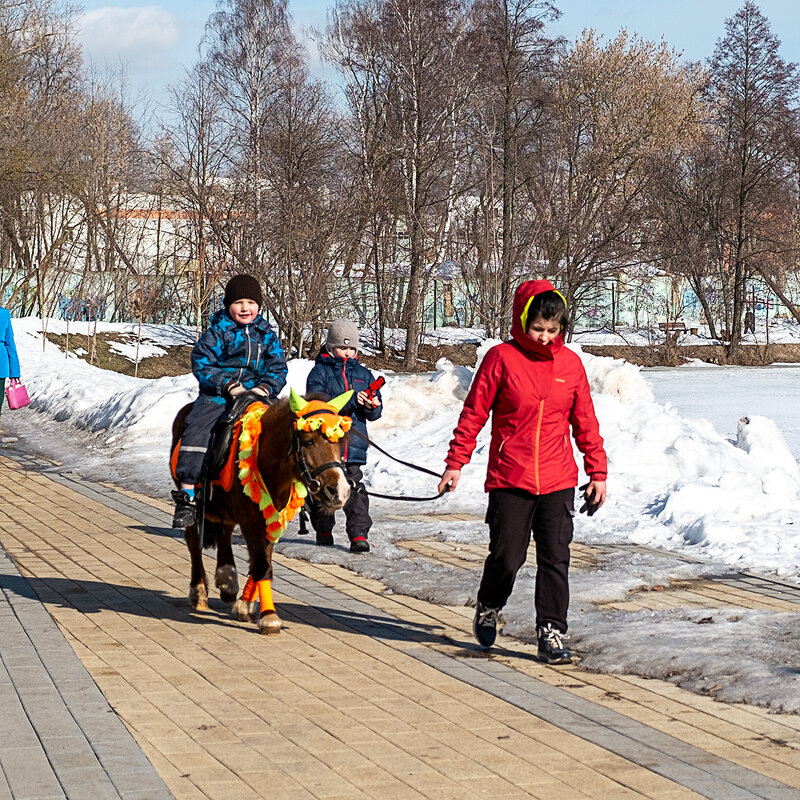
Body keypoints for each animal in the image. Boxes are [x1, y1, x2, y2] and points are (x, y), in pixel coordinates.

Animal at [170, 388, 348, 632]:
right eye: (309, 441)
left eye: (339, 443)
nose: (340, 491)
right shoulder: (250, 520)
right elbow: (261, 565)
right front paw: (269, 617)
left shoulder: (271, 518)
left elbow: (263, 562)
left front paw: (245, 606)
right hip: (192, 502)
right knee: (192, 541)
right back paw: (198, 591)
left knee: (224, 535)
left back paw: (227, 580)